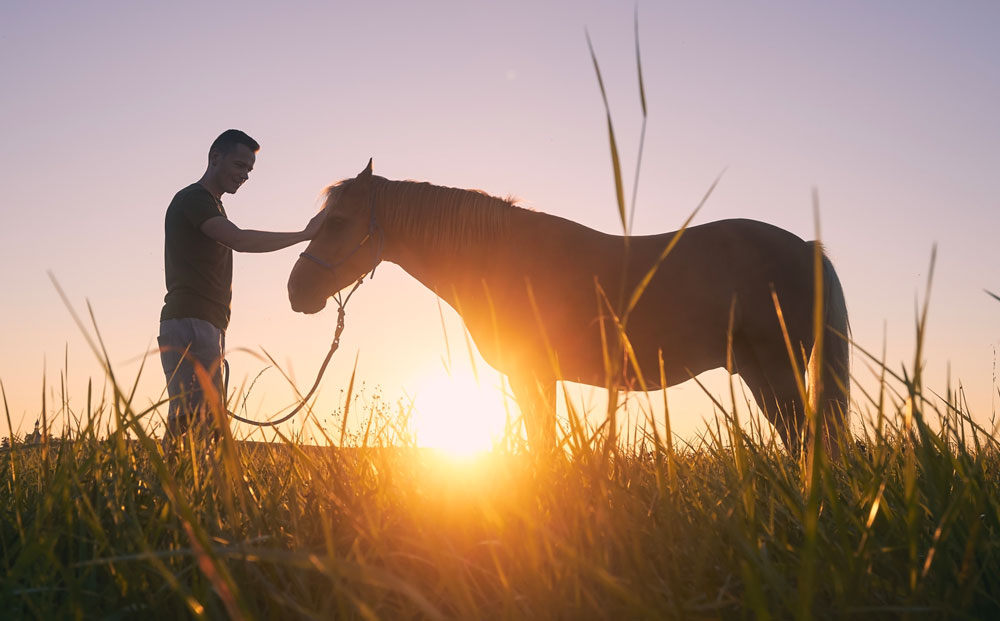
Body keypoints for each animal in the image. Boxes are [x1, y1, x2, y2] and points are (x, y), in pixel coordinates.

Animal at [290, 161, 852, 456]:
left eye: (337, 222)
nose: (297, 291)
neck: (497, 258)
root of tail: (807, 247)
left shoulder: (534, 375)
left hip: (777, 371)